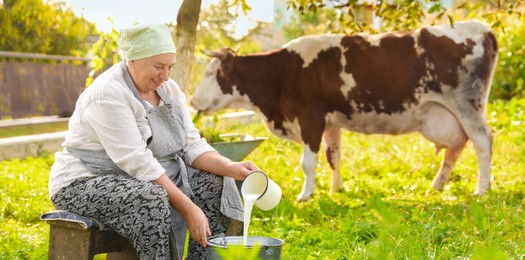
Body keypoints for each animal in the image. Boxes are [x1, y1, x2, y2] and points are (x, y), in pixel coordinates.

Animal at [190, 20, 498, 201]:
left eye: (209, 73)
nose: (192, 101)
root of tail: (479, 27)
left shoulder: (310, 119)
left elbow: (308, 163)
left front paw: (306, 195)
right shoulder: (331, 123)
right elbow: (333, 157)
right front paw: (336, 189)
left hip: (467, 106)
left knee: (483, 141)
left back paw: (482, 191)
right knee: (456, 147)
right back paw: (437, 186)